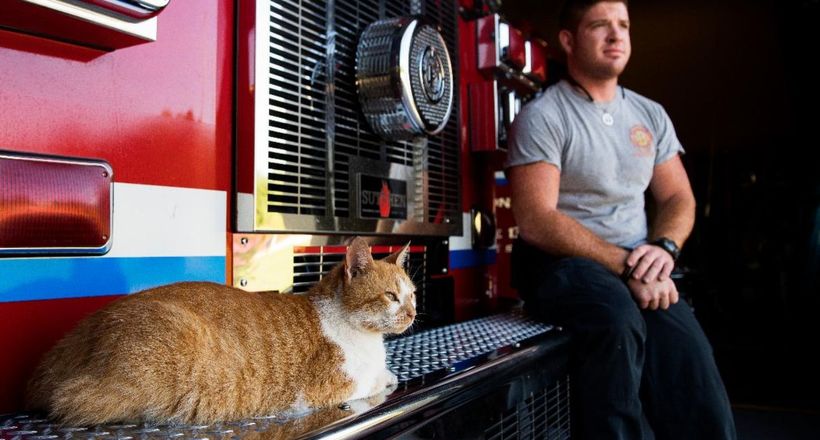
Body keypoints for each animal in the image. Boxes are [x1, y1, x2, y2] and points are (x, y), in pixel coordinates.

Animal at [25, 239, 416, 424]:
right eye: (391, 296)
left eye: (411, 294)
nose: (413, 312)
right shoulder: (326, 388)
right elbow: (372, 380)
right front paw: (386, 376)